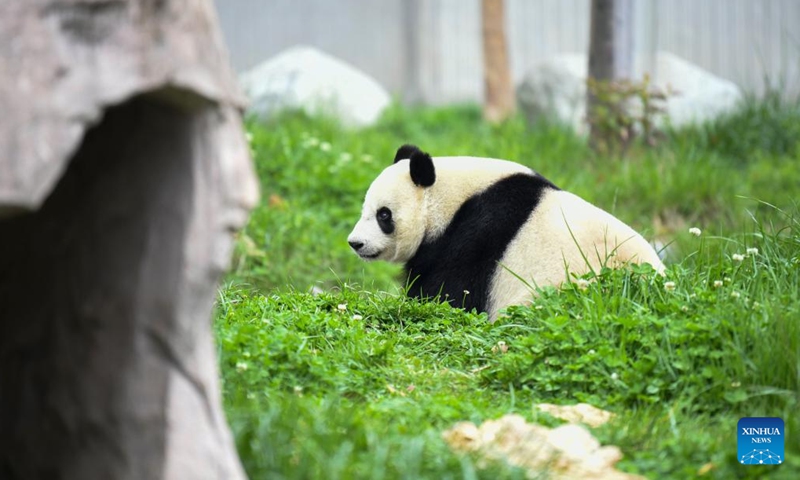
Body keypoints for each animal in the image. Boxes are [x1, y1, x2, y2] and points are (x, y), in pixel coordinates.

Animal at [346, 144, 664, 320]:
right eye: (364, 210)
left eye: (383, 215)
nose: (355, 243)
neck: (451, 198)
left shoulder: (478, 232)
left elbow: (451, 292)